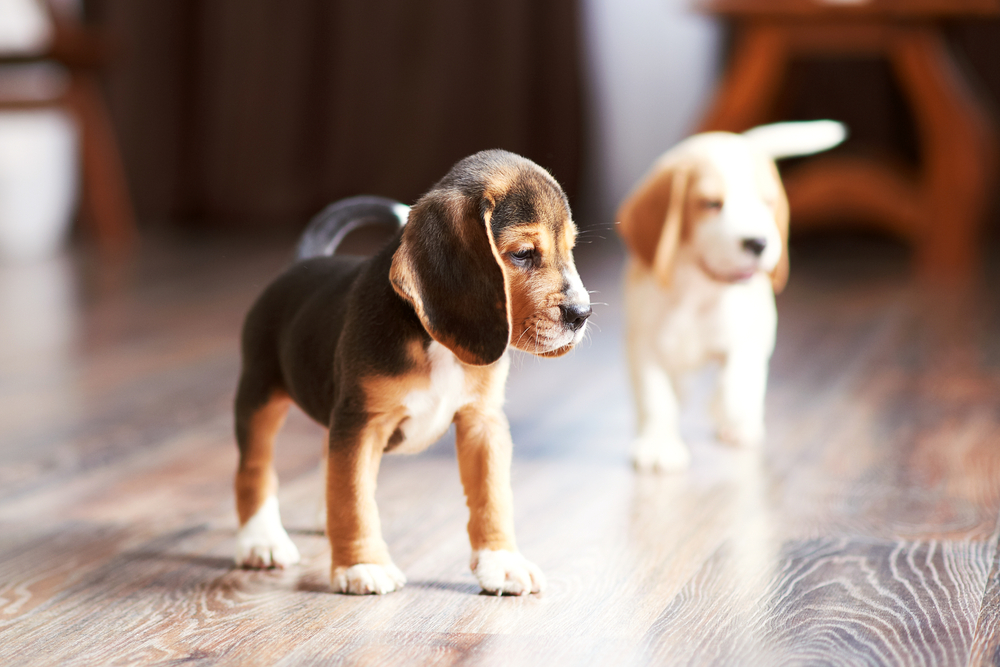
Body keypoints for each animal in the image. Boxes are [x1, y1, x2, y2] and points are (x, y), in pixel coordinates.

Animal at [232, 150, 592, 596]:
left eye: (570, 249)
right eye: (523, 253)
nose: (581, 314)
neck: (437, 345)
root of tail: (303, 262)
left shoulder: (483, 423)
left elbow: (493, 497)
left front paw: (502, 561)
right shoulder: (362, 422)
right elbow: (353, 497)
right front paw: (362, 564)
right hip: (260, 394)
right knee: (255, 468)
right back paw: (260, 539)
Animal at [616, 122, 844, 472]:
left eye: (768, 203)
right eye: (710, 204)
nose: (759, 243)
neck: (697, 290)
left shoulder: (748, 334)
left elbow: (737, 379)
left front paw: (729, 410)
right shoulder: (645, 346)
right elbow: (657, 398)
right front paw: (658, 443)